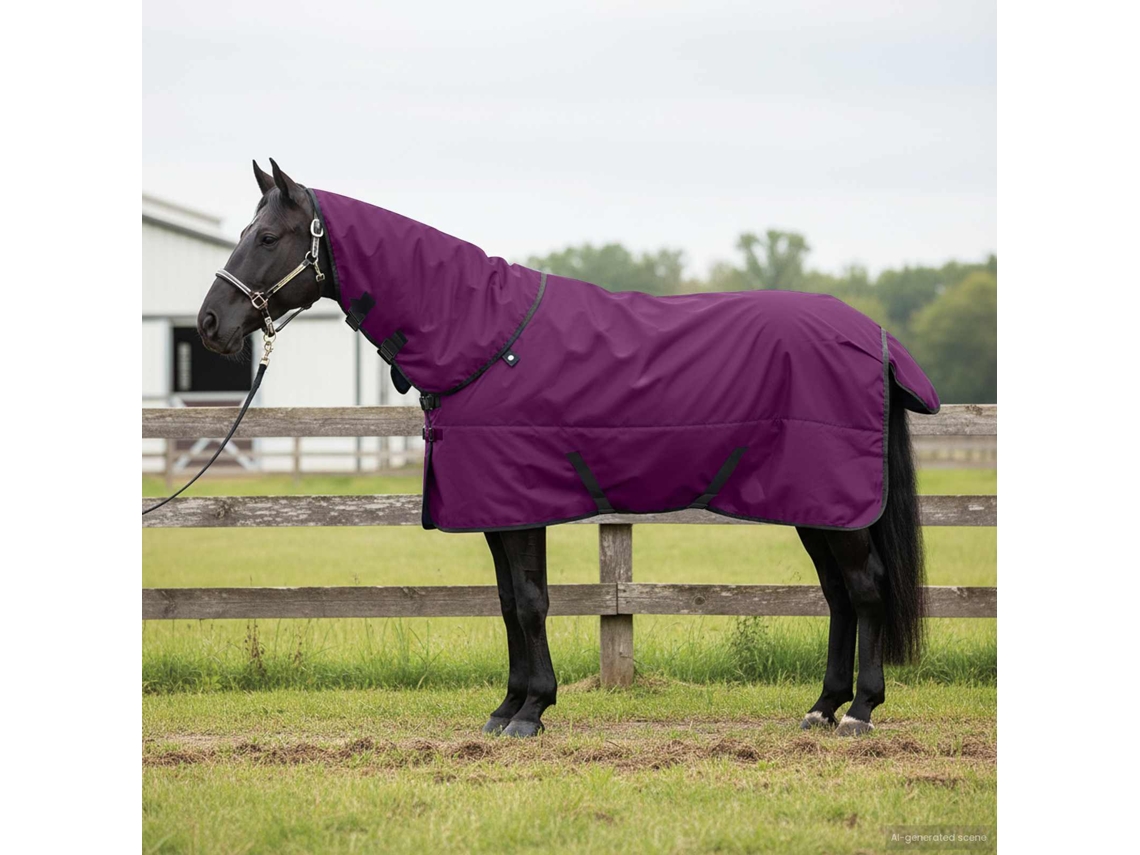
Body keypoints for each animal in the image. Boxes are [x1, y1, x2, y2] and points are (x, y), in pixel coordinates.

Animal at [196, 159, 937, 738]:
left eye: (267, 236)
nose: (209, 323)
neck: (483, 335)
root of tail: (874, 338)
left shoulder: (519, 504)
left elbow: (529, 601)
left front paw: (530, 711)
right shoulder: (497, 510)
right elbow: (507, 602)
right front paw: (508, 707)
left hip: (834, 504)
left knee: (865, 588)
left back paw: (860, 711)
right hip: (817, 506)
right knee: (839, 596)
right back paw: (822, 707)